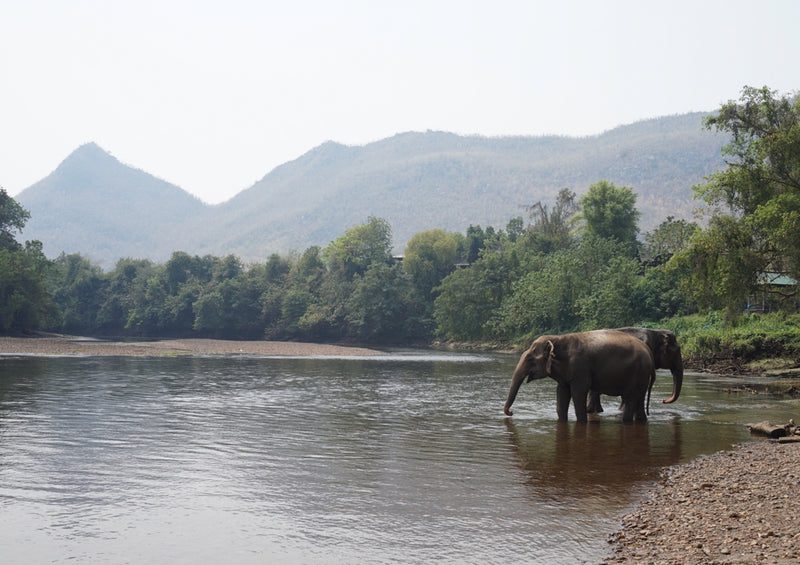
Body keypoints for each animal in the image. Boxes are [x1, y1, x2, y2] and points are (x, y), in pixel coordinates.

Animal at [506, 326, 656, 424]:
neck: (557, 339)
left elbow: (578, 392)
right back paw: (642, 421)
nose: (511, 413)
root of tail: (649, 352)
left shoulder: (580, 367)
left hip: (639, 372)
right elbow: (562, 392)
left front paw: (582, 422)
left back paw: (626, 421)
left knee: (631, 397)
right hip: (642, 375)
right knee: (639, 399)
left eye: (530, 359)